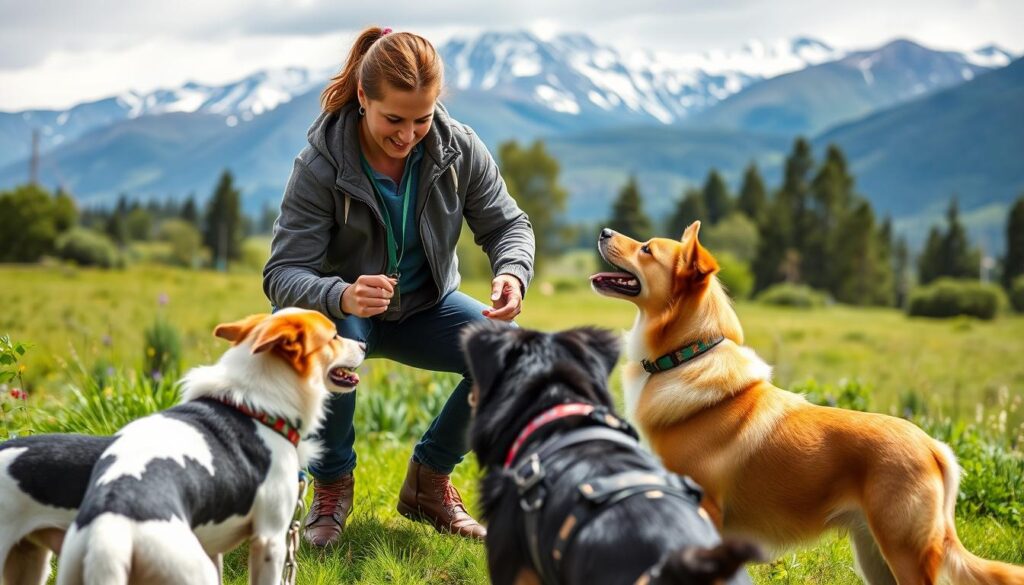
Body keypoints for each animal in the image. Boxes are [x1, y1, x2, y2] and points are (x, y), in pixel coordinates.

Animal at [57, 309, 364, 581]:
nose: (363, 345)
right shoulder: (270, 537)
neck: (257, 402)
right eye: (334, 336)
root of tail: (110, 534)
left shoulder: (214, 544)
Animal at [593, 224, 1024, 585]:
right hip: (876, 557)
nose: (604, 230)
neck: (685, 355)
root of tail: (934, 447)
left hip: (905, 551)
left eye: (647, 249)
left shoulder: (707, 511)